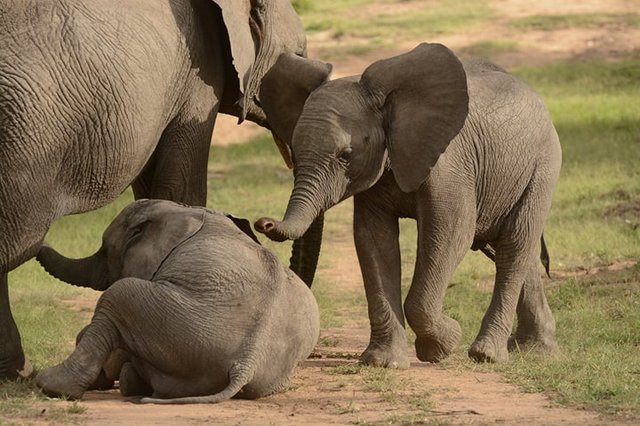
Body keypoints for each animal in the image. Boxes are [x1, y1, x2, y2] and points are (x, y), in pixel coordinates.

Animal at [0, 0, 323, 380]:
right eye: (299, 56)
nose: (264, 224)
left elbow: (152, 187)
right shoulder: (198, 76)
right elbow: (180, 187)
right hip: (27, 137)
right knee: (14, 244)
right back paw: (18, 371)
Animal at [34, 199, 320, 403]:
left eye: (105, 251)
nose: (42, 238)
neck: (189, 211)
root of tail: (246, 363)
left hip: (179, 324)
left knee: (118, 294)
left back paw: (49, 384)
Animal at [254, 43, 562, 368]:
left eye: (346, 155)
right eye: (294, 152)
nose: (263, 223)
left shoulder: (449, 164)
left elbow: (451, 231)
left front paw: (442, 345)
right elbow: (373, 240)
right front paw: (382, 362)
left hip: (542, 167)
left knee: (514, 246)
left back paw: (487, 355)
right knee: (517, 249)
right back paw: (535, 350)